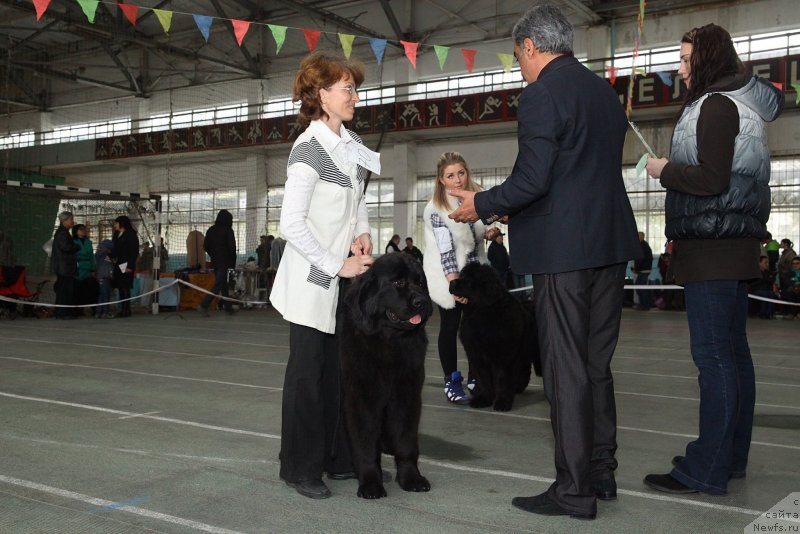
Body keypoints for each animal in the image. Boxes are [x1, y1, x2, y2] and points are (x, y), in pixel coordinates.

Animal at [336, 253, 432, 500]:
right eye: (398, 282)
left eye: (420, 283)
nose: (422, 302)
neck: (389, 342)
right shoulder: (362, 398)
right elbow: (366, 445)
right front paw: (371, 483)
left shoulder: (407, 395)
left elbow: (406, 441)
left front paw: (411, 478)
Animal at [446, 264, 540, 414]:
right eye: (461, 275)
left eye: (470, 279)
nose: (452, 282)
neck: (481, 312)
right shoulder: (477, 356)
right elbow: (483, 379)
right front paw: (483, 399)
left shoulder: (503, 356)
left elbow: (502, 379)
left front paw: (502, 403)